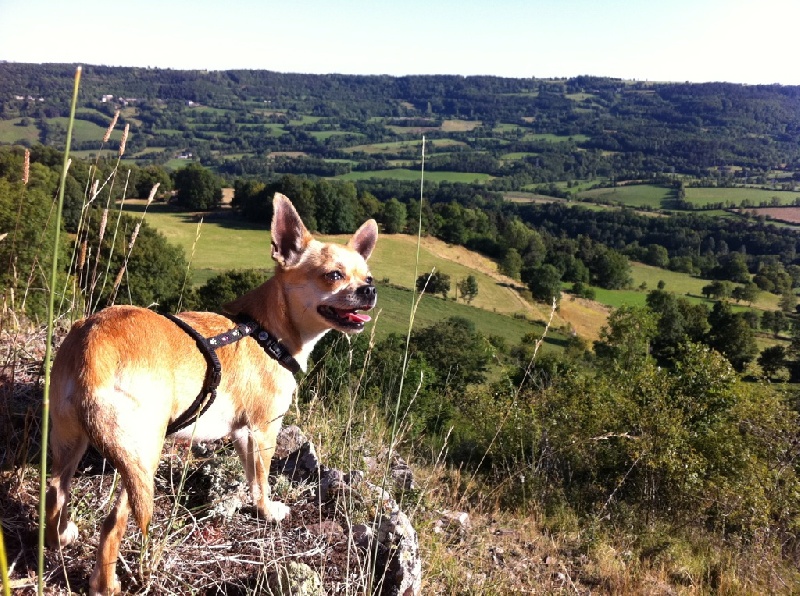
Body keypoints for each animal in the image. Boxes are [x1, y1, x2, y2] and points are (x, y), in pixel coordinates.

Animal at [45, 193, 378, 595]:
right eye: (334, 275)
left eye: (368, 277)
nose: (370, 290)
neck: (267, 331)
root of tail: (95, 342)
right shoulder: (262, 431)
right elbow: (262, 481)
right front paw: (268, 512)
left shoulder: (242, 434)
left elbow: (251, 476)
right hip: (144, 455)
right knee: (112, 525)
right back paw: (106, 585)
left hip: (71, 442)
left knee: (55, 494)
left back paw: (61, 536)